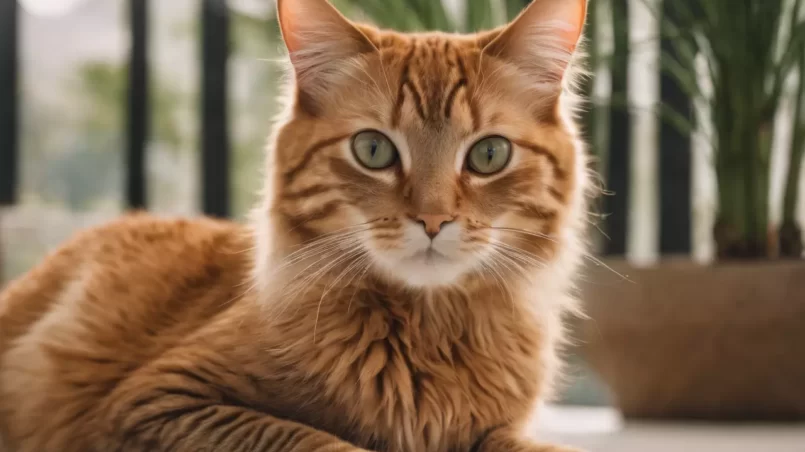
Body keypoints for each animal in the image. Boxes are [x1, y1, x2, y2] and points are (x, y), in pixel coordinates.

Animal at [0, 0, 592, 450]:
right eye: (373, 150)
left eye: (489, 155)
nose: (432, 219)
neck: (425, 333)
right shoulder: (156, 401)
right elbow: (317, 439)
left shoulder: (498, 431)